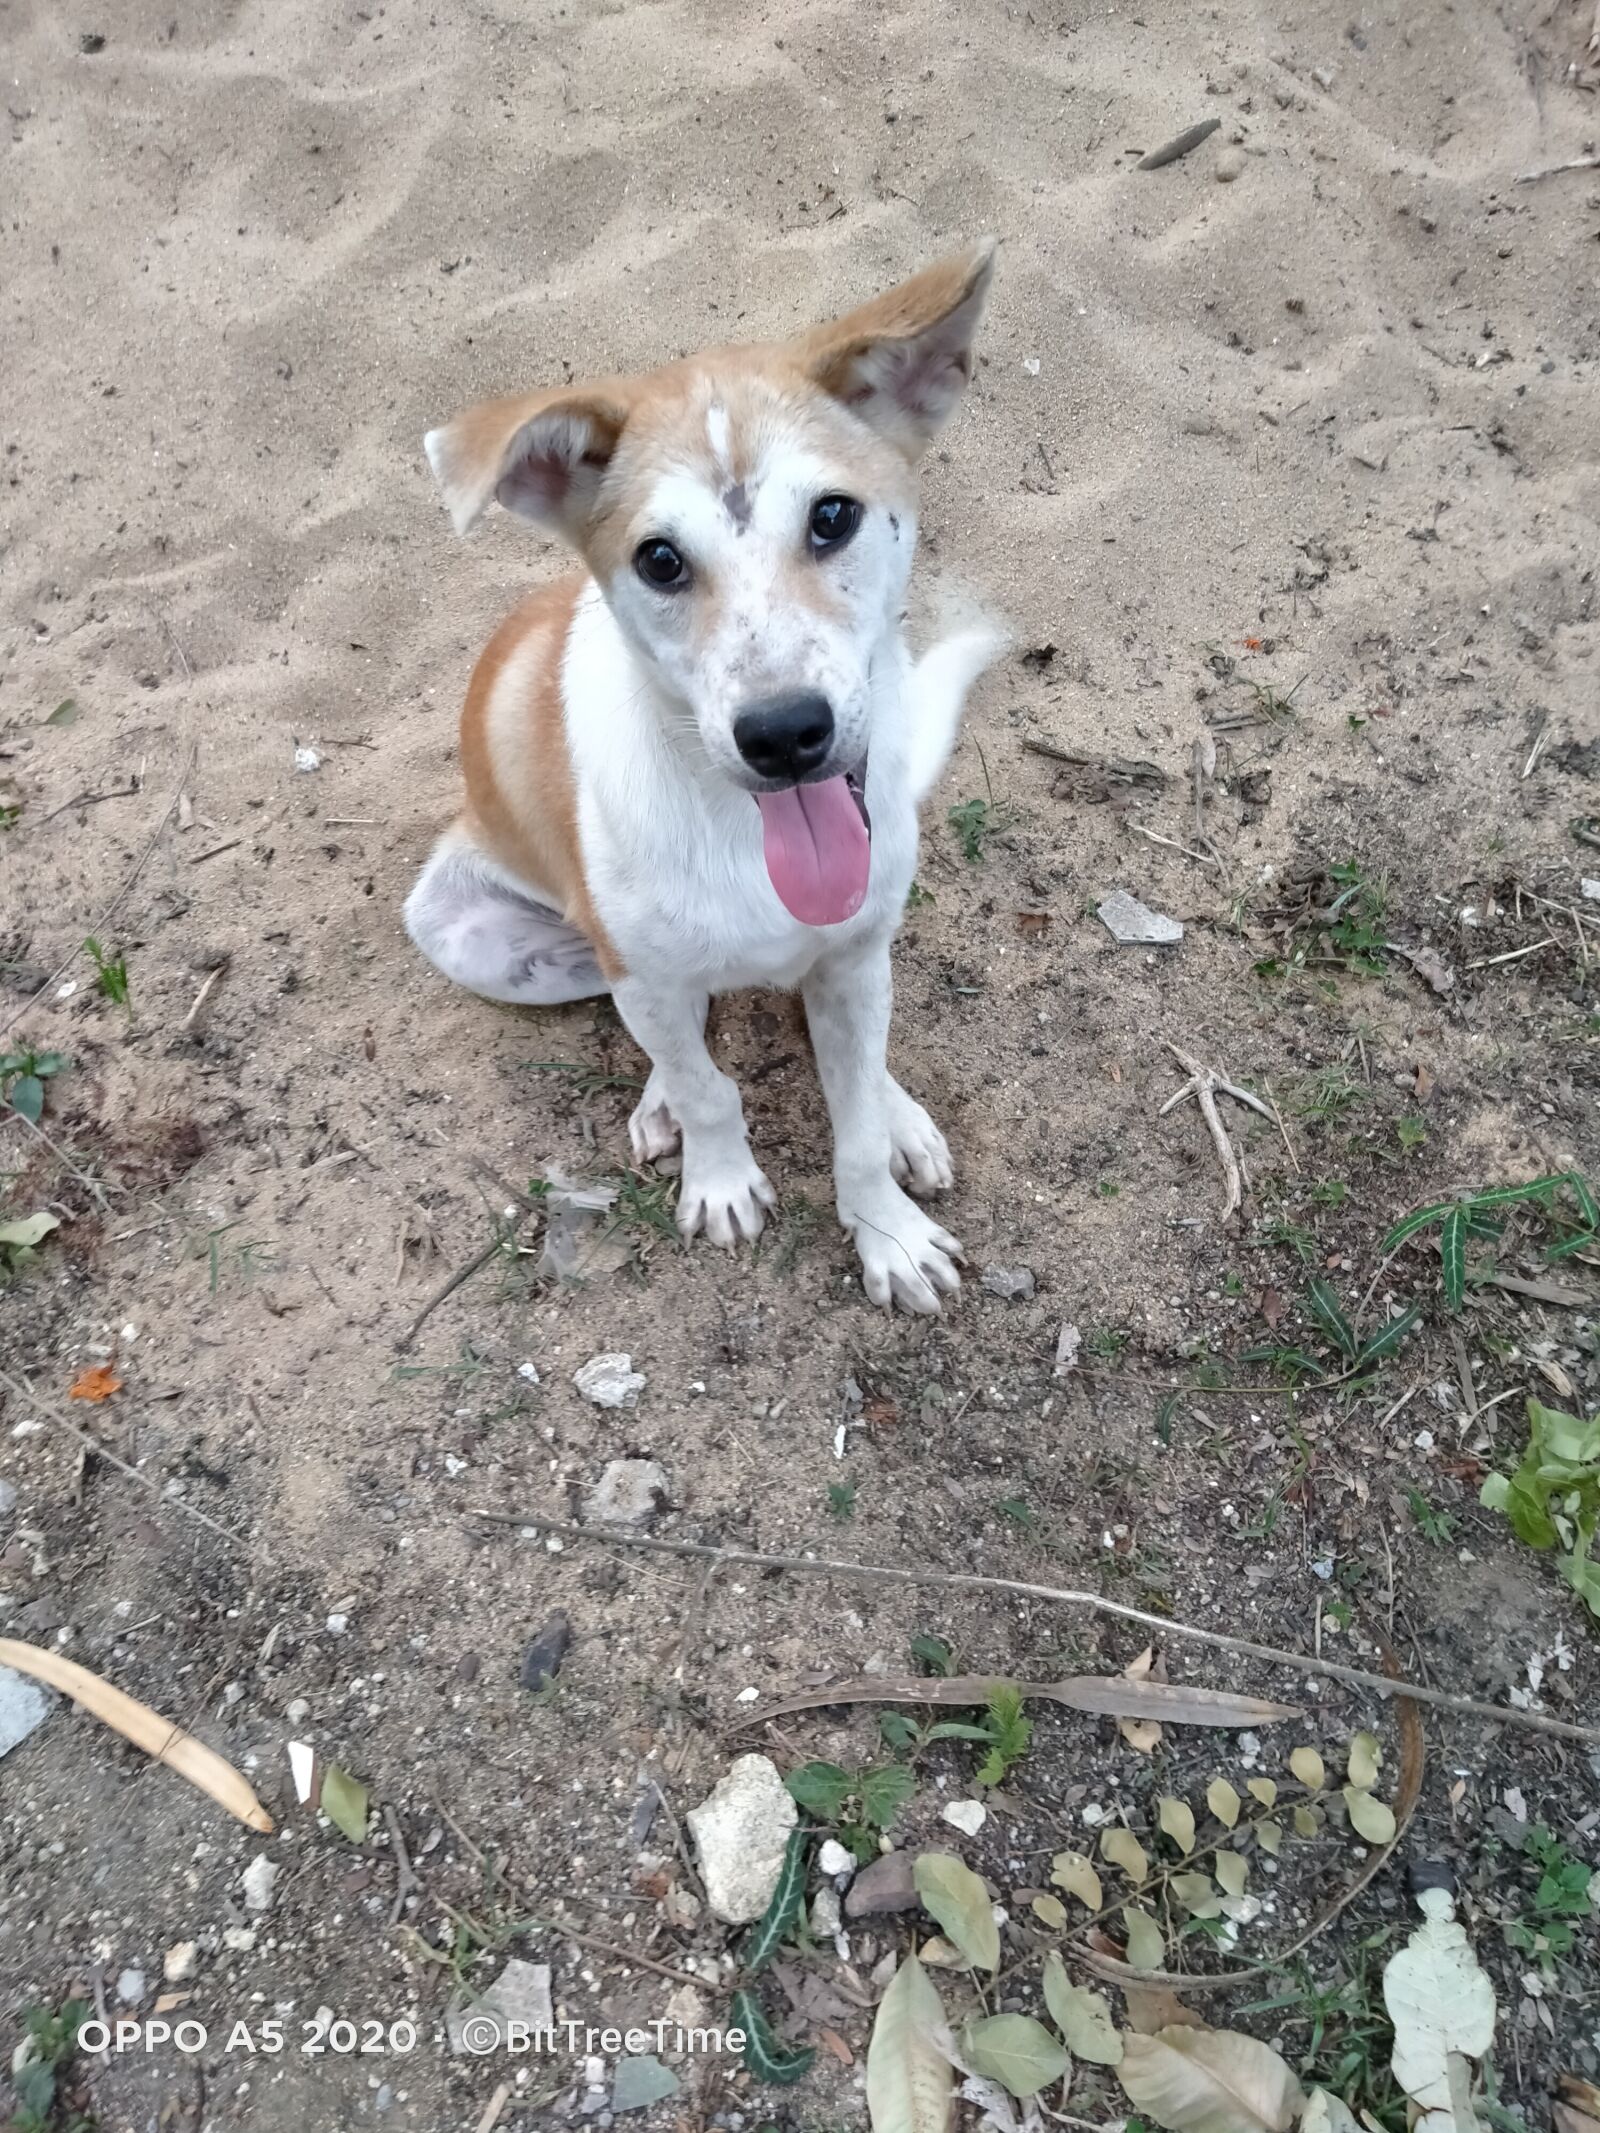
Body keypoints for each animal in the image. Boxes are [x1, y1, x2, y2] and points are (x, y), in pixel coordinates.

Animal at [407, 245, 1002, 1313]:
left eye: (834, 515)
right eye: (659, 559)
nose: (785, 734)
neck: (748, 835)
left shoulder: (855, 955)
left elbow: (852, 1123)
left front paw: (887, 1231)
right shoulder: (642, 973)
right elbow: (705, 1082)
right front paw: (720, 1177)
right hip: (476, 935)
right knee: (669, 1026)